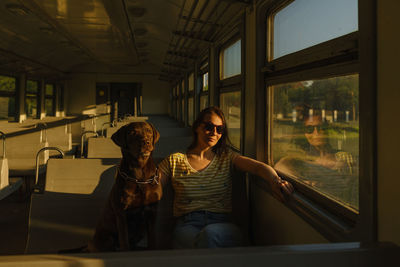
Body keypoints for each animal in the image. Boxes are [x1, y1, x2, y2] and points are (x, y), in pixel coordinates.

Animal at [88, 122, 161, 252]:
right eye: (132, 133)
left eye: (149, 131)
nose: (146, 142)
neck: (140, 177)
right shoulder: (121, 212)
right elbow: (124, 240)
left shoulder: (152, 211)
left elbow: (152, 239)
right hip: (107, 238)